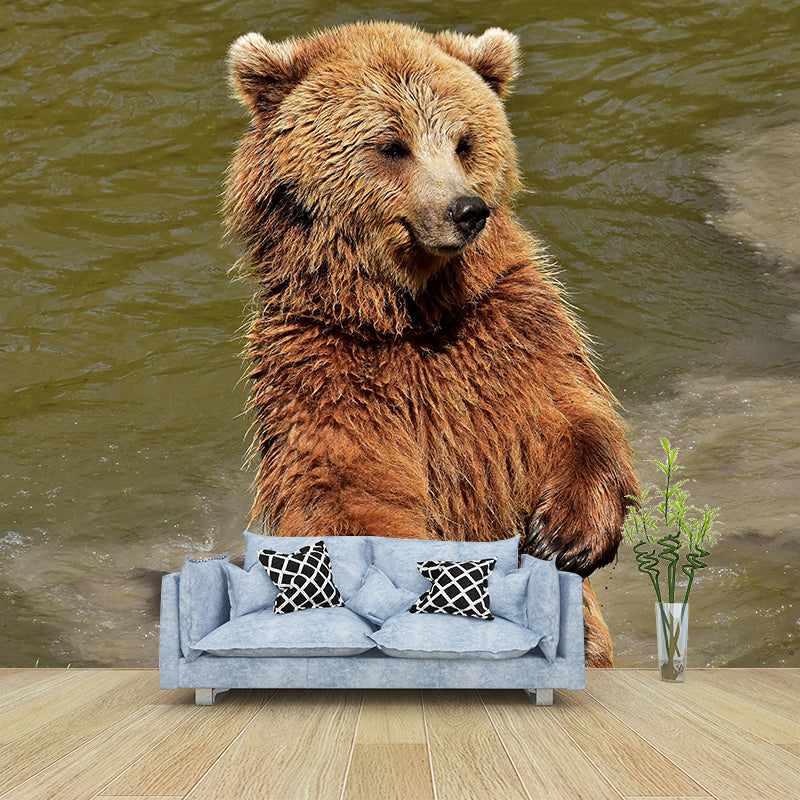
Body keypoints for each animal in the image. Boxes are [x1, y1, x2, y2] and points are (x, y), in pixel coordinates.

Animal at [225, 21, 639, 667]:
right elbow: (347, 489)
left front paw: (568, 534)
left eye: (465, 142)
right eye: (392, 145)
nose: (465, 209)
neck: (411, 315)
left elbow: (569, 413)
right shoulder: (325, 369)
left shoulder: (507, 328)